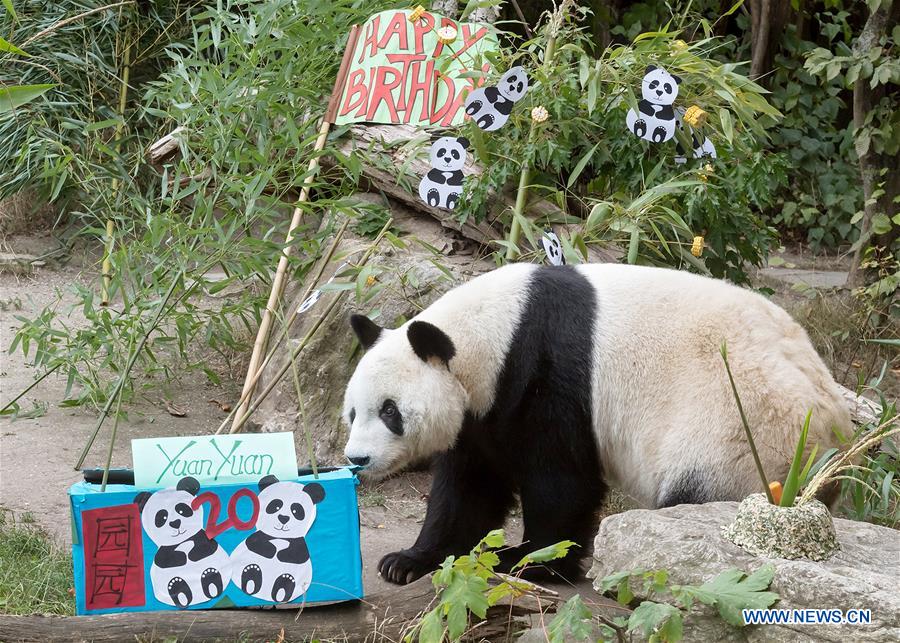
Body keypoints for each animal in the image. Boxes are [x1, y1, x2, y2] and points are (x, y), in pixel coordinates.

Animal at [342, 264, 852, 588]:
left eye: (390, 411)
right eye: (353, 412)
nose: (357, 459)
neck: (492, 331)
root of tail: (836, 432)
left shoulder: (549, 372)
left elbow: (561, 481)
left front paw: (530, 561)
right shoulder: (484, 410)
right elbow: (469, 489)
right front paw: (407, 562)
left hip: (739, 429)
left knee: (698, 497)